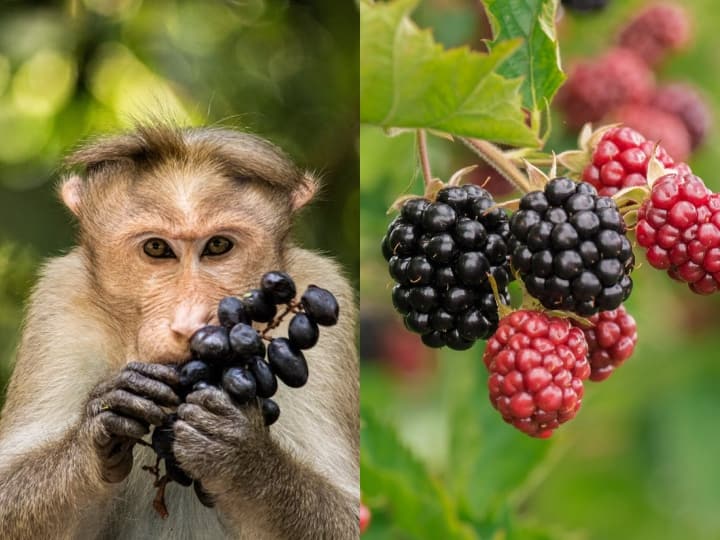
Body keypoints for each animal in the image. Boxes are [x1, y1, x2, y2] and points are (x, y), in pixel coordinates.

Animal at [0, 125, 360, 540]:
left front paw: (241, 452)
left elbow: (347, 512)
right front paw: (105, 419)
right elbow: (6, 494)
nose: (189, 323)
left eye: (218, 246)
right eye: (157, 248)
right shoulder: (60, 306)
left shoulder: (328, 294)